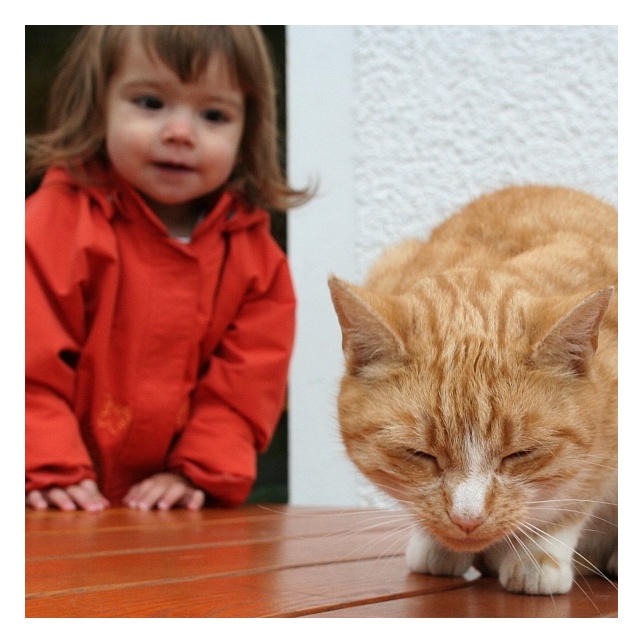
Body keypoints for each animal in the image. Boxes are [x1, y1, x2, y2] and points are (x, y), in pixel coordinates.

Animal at [332, 187, 620, 600]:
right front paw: (436, 545)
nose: (467, 519)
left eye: (521, 454)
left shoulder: (605, 450)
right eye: (419, 455)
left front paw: (537, 557)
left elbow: (570, 500)